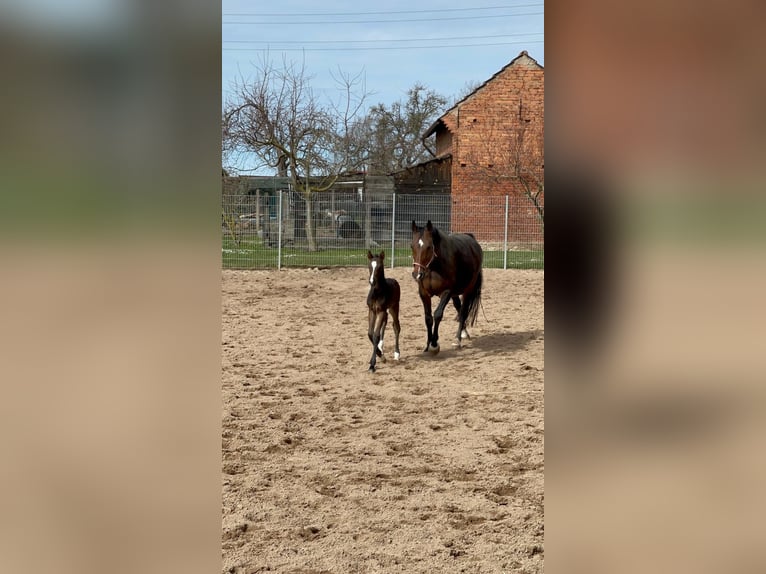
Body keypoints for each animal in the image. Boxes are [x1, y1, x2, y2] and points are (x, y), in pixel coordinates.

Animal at [412, 222, 484, 354]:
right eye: (411, 246)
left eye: (429, 247)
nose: (417, 274)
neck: (433, 268)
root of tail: (472, 240)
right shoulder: (423, 294)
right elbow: (428, 318)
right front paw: (427, 345)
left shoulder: (446, 292)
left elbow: (437, 314)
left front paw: (434, 344)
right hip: (455, 293)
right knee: (458, 307)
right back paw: (464, 333)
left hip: (468, 290)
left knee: (463, 312)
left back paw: (458, 340)